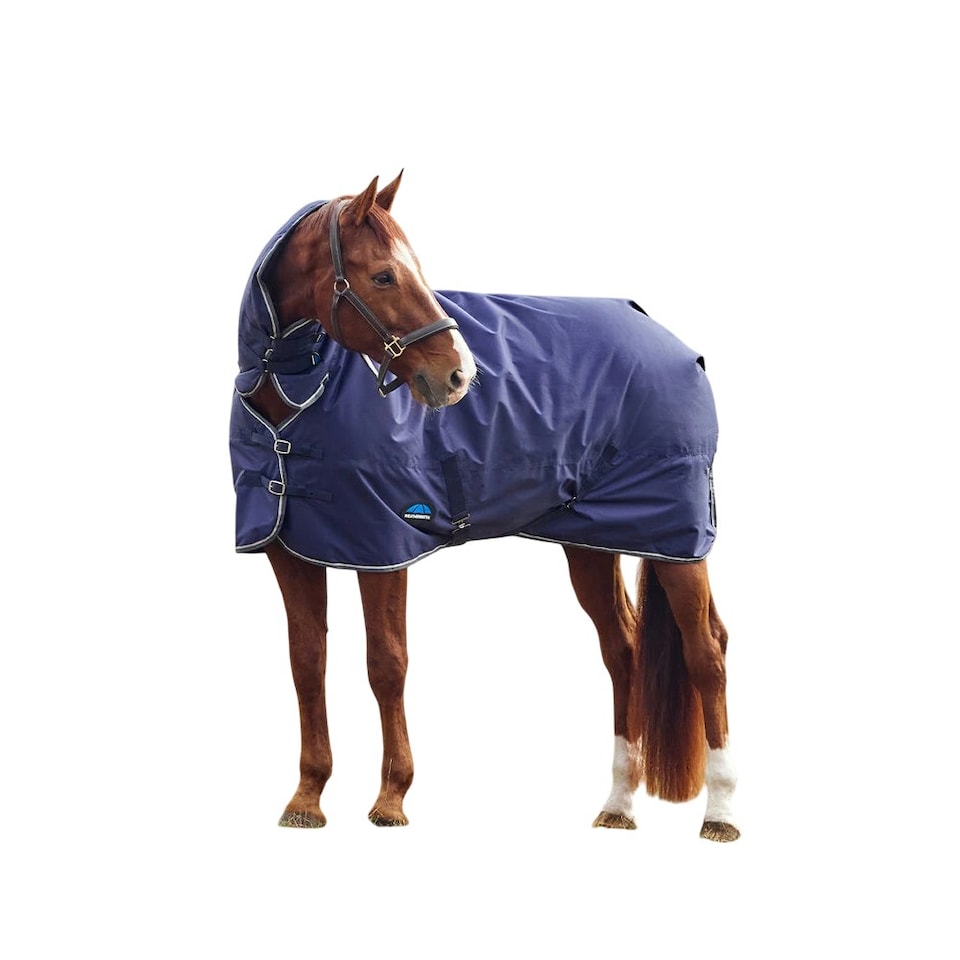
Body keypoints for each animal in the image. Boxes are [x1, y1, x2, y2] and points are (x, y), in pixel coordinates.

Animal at [230, 173, 739, 842]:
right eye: (384, 276)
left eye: (415, 270)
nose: (458, 375)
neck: (297, 398)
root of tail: (674, 341)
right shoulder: (290, 551)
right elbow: (307, 663)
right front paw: (307, 799)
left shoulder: (385, 548)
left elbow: (386, 664)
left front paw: (390, 800)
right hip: (593, 543)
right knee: (623, 650)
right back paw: (618, 805)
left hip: (677, 539)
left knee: (707, 652)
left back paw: (721, 813)